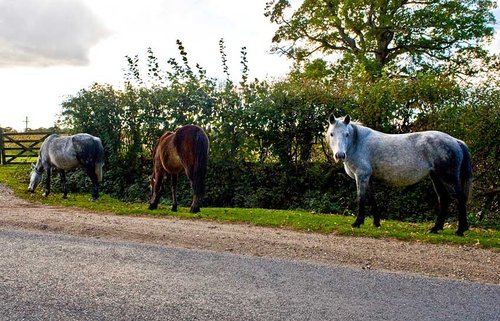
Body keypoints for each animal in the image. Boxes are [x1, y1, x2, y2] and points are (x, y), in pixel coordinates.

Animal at [324, 113, 472, 235]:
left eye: (346, 134)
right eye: (332, 134)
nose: (340, 155)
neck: (358, 143)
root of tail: (456, 141)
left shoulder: (361, 176)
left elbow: (361, 198)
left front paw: (357, 223)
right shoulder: (369, 178)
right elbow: (372, 199)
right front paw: (376, 223)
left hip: (448, 177)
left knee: (460, 198)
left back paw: (460, 230)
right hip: (436, 177)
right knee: (444, 199)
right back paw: (436, 228)